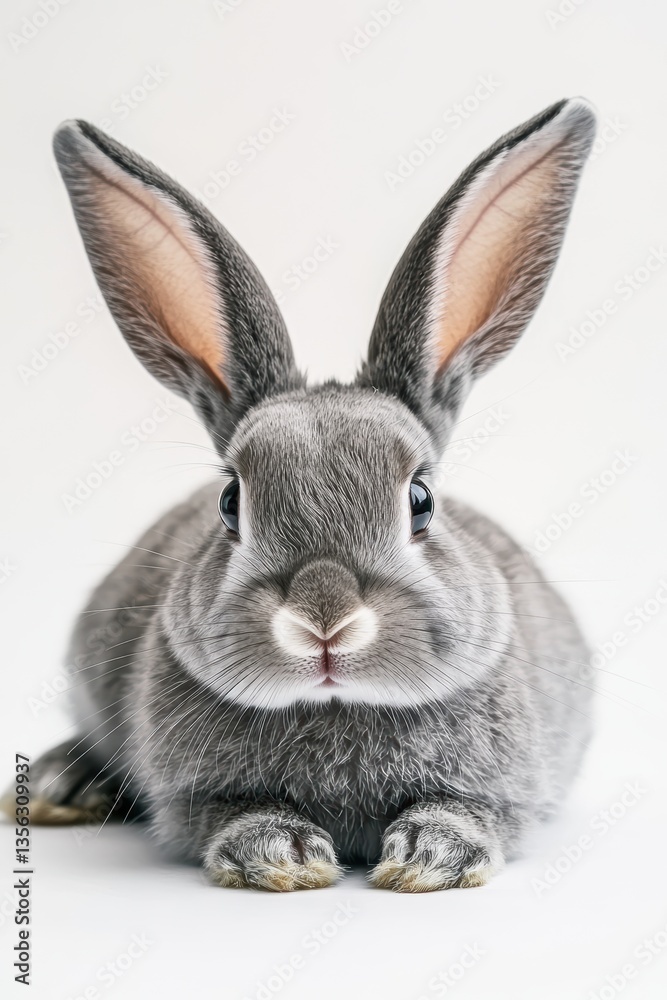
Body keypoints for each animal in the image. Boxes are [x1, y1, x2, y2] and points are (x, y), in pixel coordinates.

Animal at [7, 98, 597, 892]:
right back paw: (60, 785)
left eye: (420, 500)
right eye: (231, 502)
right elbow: (227, 815)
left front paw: (428, 859)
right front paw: (281, 856)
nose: (325, 621)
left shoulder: (504, 789)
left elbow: (469, 812)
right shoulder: (194, 796)